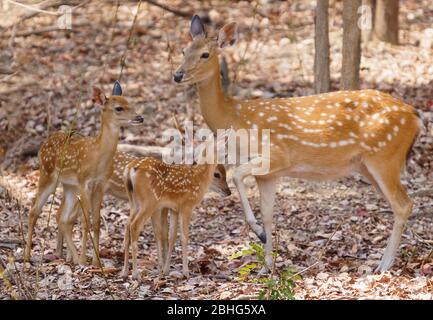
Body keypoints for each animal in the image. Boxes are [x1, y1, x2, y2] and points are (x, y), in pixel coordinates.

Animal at [24, 82, 143, 264]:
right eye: (118, 108)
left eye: (130, 103)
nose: (140, 118)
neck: (97, 156)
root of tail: (43, 145)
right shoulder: (83, 182)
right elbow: (86, 221)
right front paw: (85, 259)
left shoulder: (99, 184)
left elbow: (96, 222)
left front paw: (95, 262)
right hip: (48, 174)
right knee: (34, 210)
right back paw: (27, 256)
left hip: (69, 185)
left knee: (62, 217)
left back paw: (70, 257)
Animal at [173, 15, 422, 272]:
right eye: (183, 50)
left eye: (205, 54)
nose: (178, 75)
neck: (235, 117)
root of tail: (415, 117)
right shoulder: (269, 175)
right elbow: (268, 214)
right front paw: (267, 266)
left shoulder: (277, 156)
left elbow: (237, 175)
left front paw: (259, 235)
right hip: (367, 165)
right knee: (400, 204)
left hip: (385, 157)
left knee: (404, 204)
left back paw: (384, 266)